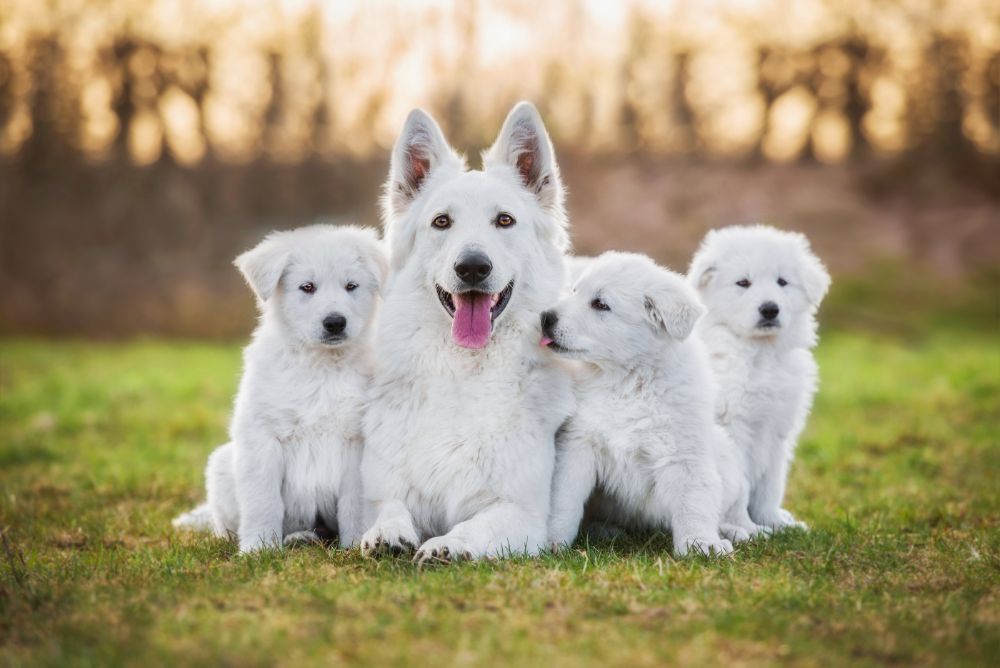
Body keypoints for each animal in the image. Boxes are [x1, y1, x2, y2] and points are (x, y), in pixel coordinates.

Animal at [172, 224, 386, 552]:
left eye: (351, 286)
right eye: (307, 287)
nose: (335, 323)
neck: (320, 366)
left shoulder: (357, 441)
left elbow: (354, 503)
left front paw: (354, 545)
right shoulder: (262, 436)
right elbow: (263, 500)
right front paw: (258, 549)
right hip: (222, 465)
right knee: (226, 523)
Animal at [362, 102, 576, 560]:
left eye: (505, 220)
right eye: (442, 222)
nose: (473, 267)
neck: (464, 371)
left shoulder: (522, 515)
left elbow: (478, 524)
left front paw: (448, 544)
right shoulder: (380, 493)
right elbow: (389, 507)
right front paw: (387, 532)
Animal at [540, 253, 744, 556]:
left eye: (600, 304)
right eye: (574, 291)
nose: (544, 317)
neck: (627, 380)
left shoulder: (684, 453)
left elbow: (693, 502)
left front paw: (700, 544)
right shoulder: (578, 444)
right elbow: (564, 498)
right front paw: (552, 542)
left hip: (726, 456)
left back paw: (739, 531)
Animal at [692, 224, 832, 532]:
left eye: (782, 282)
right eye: (743, 283)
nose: (770, 309)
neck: (759, 353)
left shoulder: (778, 431)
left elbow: (771, 484)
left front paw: (775, 523)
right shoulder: (734, 429)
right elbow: (742, 486)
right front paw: (750, 528)